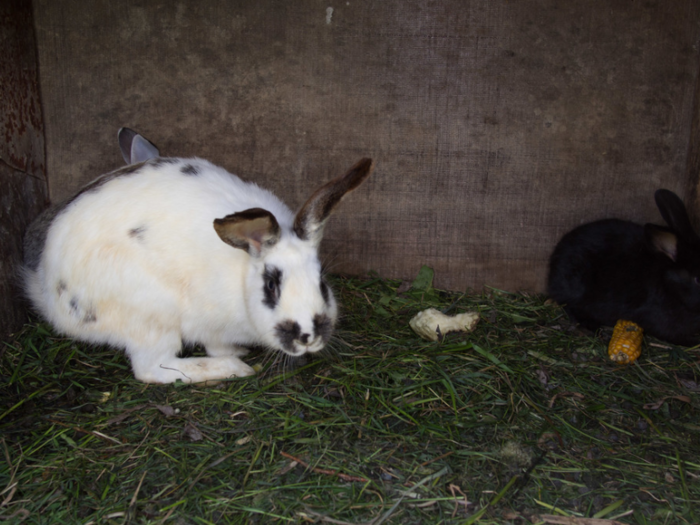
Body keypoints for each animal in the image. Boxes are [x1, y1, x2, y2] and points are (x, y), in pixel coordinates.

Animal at [23, 129, 372, 382]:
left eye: (322, 284)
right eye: (271, 286)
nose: (308, 336)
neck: (241, 273)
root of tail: (49, 293)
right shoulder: (208, 323)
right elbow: (214, 346)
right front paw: (233, 356)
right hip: (152, 317)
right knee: (152, 369)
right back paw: (231, 370)